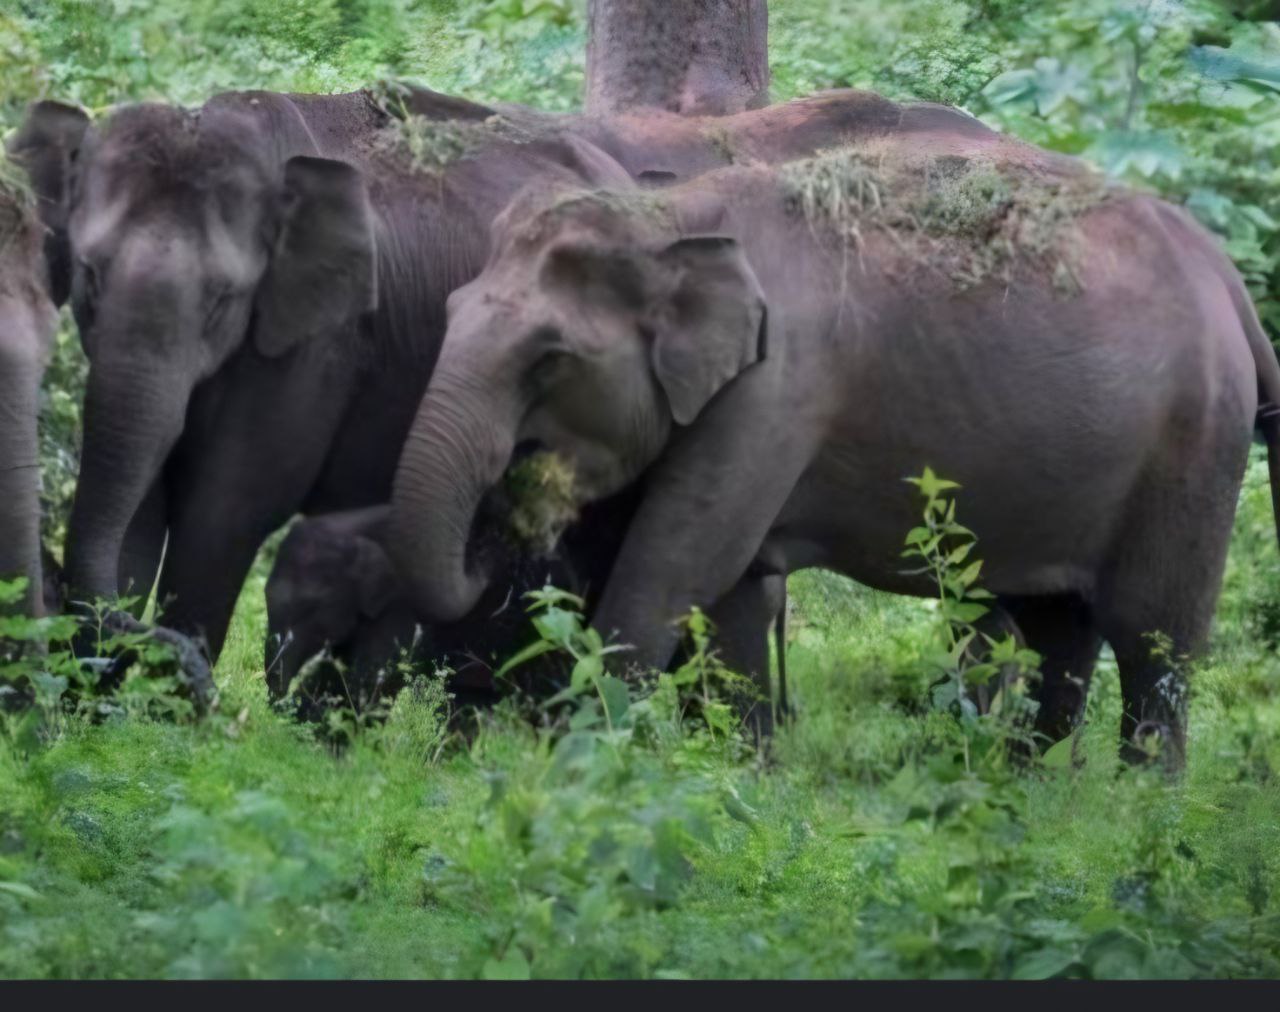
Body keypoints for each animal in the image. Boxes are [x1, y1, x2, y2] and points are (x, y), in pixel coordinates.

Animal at [389, 130, 1280, 772]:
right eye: (452, 308)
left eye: (548, 358)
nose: (507, 521)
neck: (670, 215)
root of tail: (1228, 280)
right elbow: (734, 596)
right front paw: (742, 775)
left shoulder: (778, 388)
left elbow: (675, 569)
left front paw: (579, 767)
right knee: (1060, 625)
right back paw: (1031, 789)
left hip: (1193, 446)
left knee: (1153, 637)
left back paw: (1140, 802)